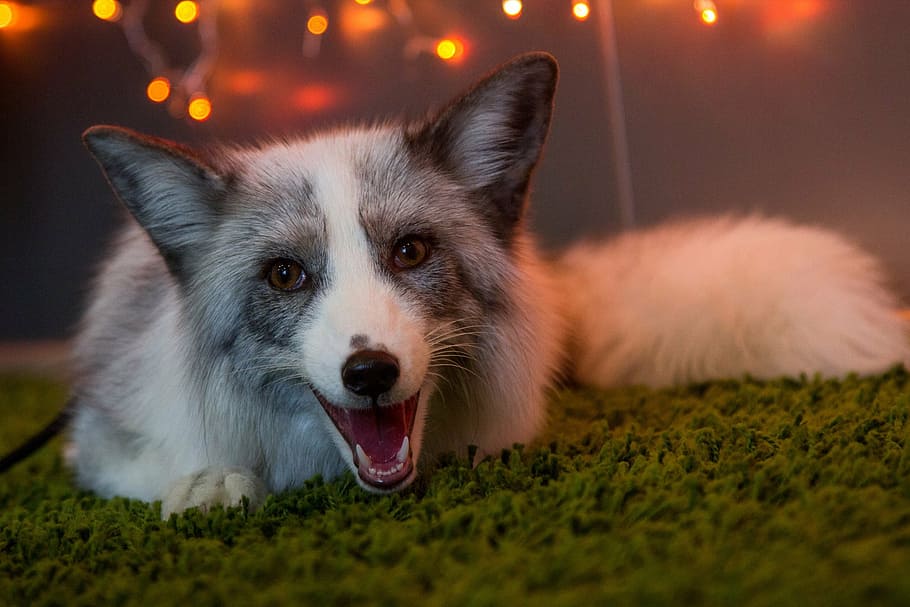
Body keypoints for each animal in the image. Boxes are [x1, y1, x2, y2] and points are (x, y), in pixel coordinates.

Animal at [3, 52, 907, 517]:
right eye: (286, 275)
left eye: (410, 252)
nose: (370, 372)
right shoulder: (100, 429)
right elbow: (139, 464)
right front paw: (208, 481)